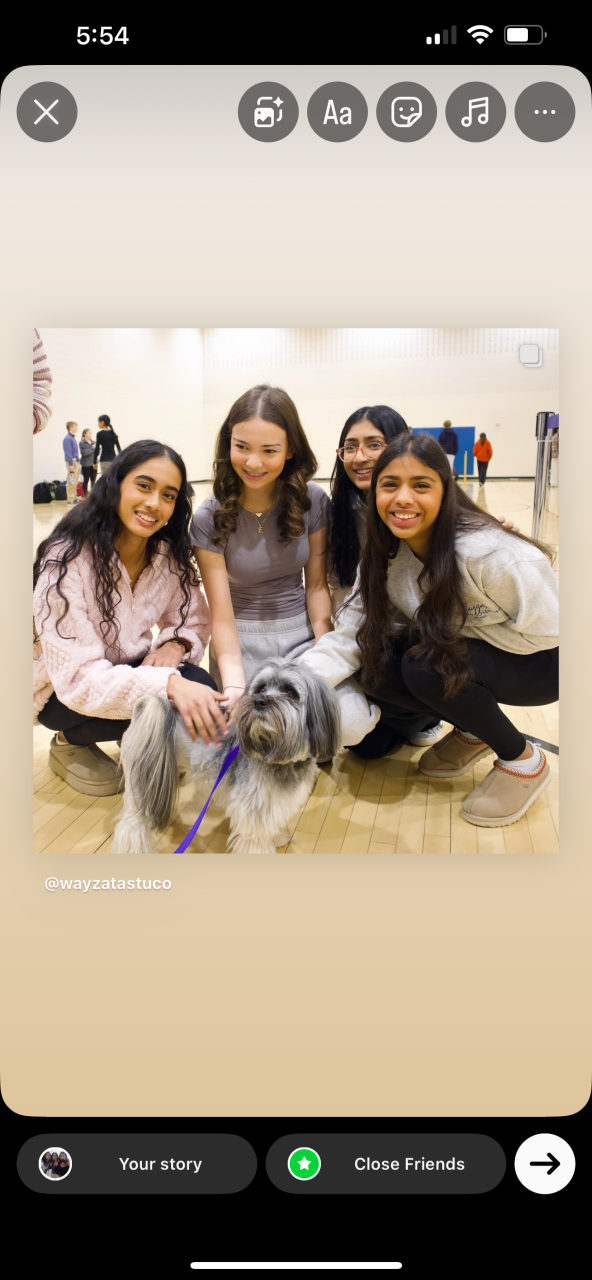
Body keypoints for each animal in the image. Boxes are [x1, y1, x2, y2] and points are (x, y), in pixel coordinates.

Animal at [111, 660, 341, 855]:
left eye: (290, 692)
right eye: (261, 688)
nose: (259, 701)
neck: (274, 754)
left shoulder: (275, 804)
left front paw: (278, 837)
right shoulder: (253, 814)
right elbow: (256, 843)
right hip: (139, 785)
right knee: (130, 827)